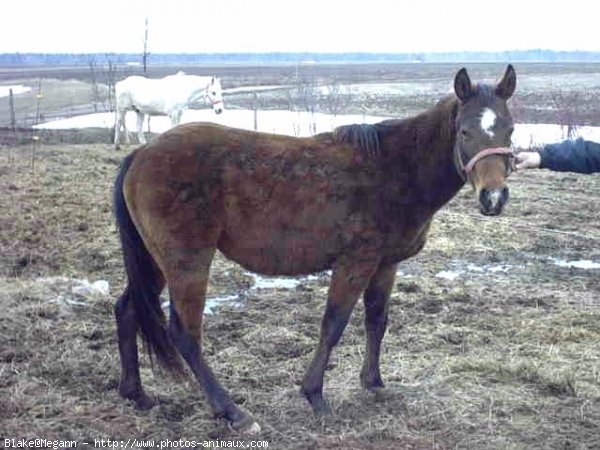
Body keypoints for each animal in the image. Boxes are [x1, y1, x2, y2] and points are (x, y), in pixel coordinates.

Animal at [113, 66, 516, 432]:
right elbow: (333, 324)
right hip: (186, 261)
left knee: (128, 310)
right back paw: (232, 412)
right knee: (186, 333)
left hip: (154, 262)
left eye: (510, 129)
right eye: (465, 131)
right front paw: (315, 395)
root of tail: (141, 154)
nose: (493, 198)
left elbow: (376, 320)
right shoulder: (355, 262)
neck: (396, 168)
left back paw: (136, 394)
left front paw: (374, 384)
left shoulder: (385, 264)